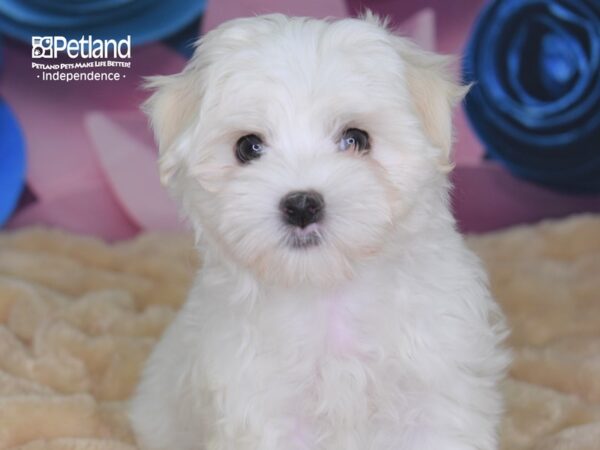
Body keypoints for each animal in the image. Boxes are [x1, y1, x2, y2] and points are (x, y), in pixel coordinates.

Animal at [130, 13, 510, 450]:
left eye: (356, 139)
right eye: (248, 147)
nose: (301, 205)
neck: (329, 291)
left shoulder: (435, 391)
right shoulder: (265, 408)